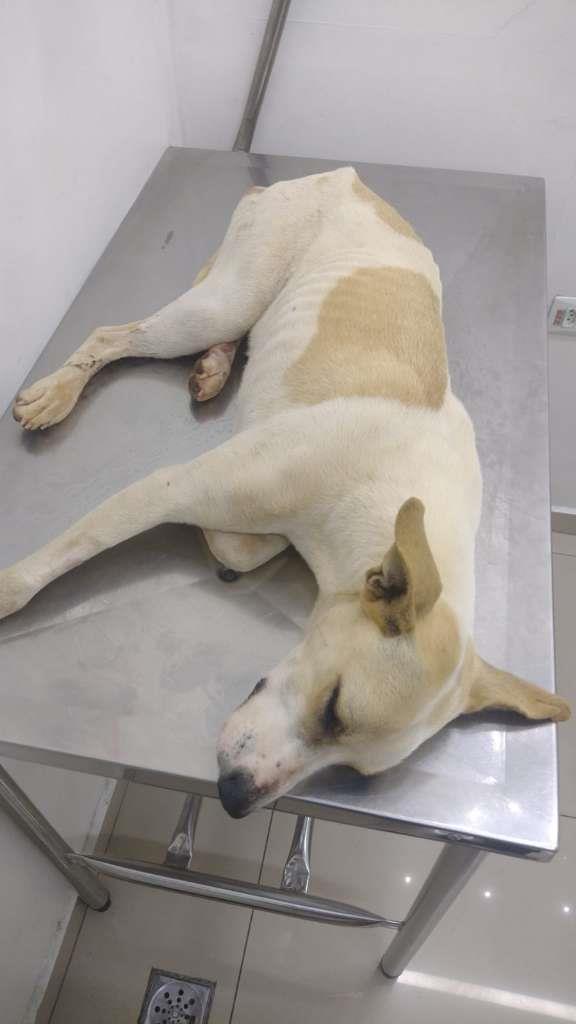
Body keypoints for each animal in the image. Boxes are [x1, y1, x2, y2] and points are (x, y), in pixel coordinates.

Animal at [2, 167, 570, 818]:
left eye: (352, 766)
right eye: (333, 706)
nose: (235, 797)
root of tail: (342, 175)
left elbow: (244, 548)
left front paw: (229, 546)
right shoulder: (174, 485)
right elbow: (62, 557)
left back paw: (216, 367)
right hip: (219, 304)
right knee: (117, 333)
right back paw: (57, 393)